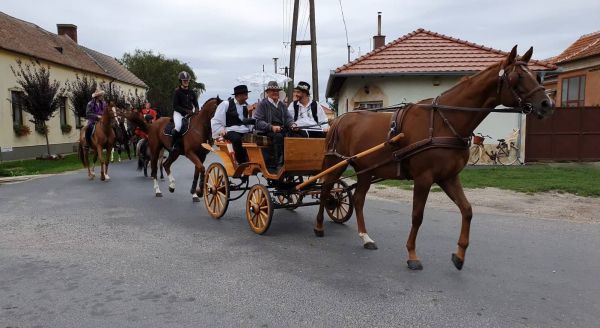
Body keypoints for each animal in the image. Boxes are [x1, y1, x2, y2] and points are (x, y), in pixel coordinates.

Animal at [316, 46, 556, 272]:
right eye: (518, 77)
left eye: (536, 77)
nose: (547, 104)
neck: (444, 122)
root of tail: (339, 119)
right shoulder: (424, 178)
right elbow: (417, 215)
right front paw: (412, 255)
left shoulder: (449, 177)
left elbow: (467, 210)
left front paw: (459, 255)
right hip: (336, 163)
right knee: (326, 190)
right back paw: (319, 226)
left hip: (366, 169)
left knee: (357, 199)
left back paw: (365, 237)